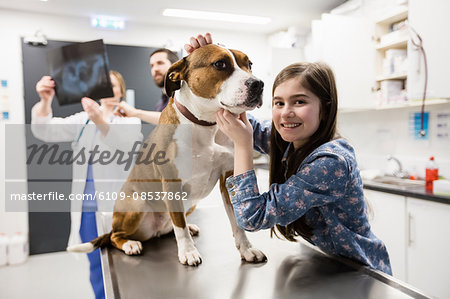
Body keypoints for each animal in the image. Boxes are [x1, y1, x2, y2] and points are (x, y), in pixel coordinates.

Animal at [68, 45, 266, 268]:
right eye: (220, 64)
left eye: (249, 64)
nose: (258, 84)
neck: (204, 124)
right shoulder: (172, 183)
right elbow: (180, 227)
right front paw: (188, 252)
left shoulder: (229, 179)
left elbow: (237, 223)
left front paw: (247, 249)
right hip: (136, 203)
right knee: (114, 236)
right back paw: (130, 244)